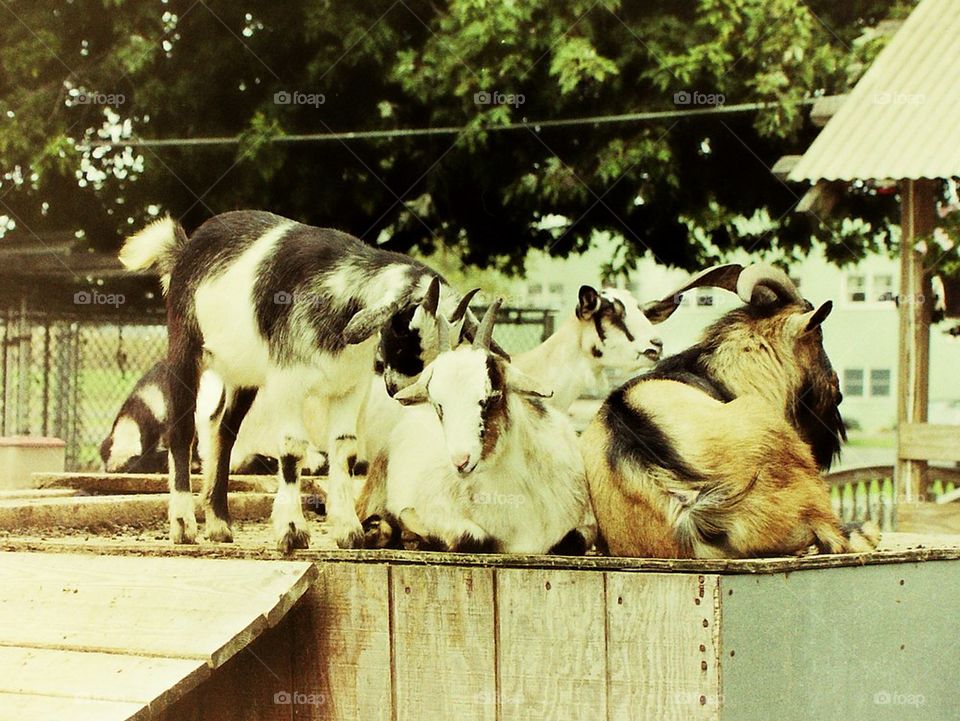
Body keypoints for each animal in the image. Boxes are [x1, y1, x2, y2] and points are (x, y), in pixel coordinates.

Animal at [120, 211, 480, 548]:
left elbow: (345, 449)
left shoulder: (350, 388)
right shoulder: (287, 382)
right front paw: (292, 530)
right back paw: (183, 525)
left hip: (243, 375)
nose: (400, 392)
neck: (340, 292)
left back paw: (219, 523)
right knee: (182, 430)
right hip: (185, 347)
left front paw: (348, 530)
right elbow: (293, 449)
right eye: (406, 335)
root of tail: (183, 249)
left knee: (222, 428)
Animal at [356, 298, 596, 552]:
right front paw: (416, 531)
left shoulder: (586, 522)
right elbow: (473, 539)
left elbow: (573, 540)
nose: (461, 461)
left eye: (493, 396)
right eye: (438, 406)